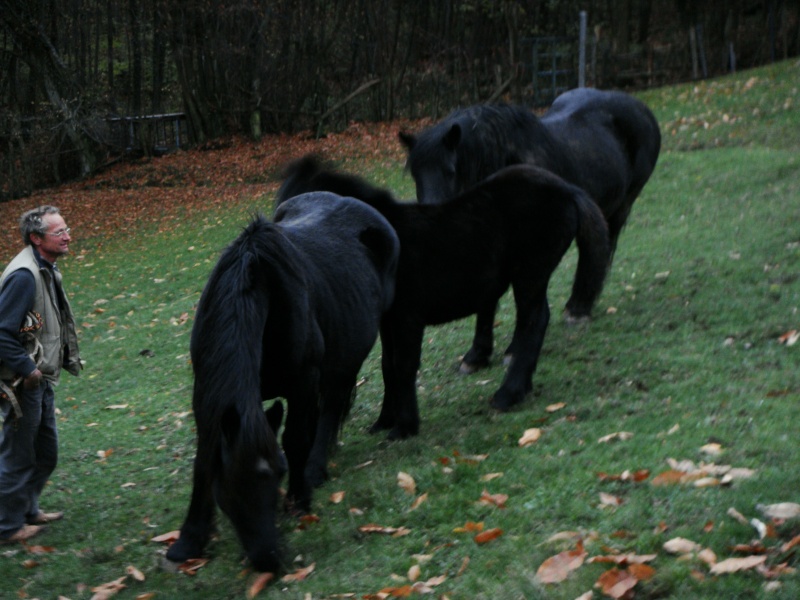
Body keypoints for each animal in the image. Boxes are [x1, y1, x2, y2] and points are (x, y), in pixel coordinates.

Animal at [166, 197, 400, 572]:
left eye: (278, 473)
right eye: (230, 486)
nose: (269, 559)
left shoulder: (303, 382)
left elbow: (295, 439)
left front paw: (299, 498)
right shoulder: (206, 397)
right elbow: (203, 460)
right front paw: (189, 541)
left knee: (342, 399)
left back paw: (319, 466)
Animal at [278, 157, 608, 440]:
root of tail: (567, 189)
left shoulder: (409, 317)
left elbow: (404, 365)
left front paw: (405, 426)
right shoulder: (388, 322)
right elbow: (388, 366)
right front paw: (384, 420)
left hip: (530, 274)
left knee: (534, 322)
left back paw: (507, 394)